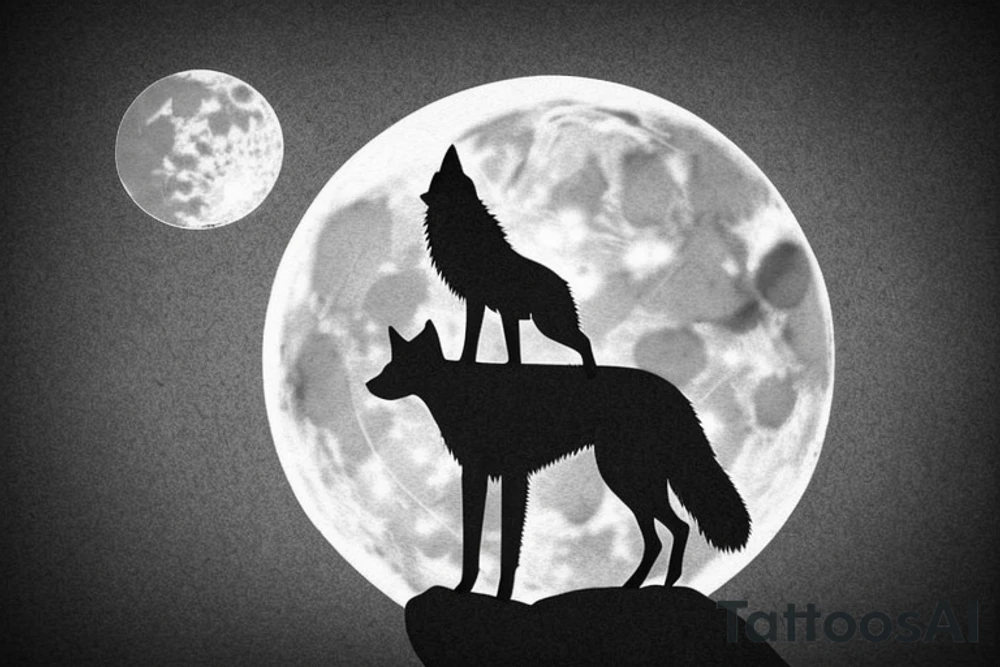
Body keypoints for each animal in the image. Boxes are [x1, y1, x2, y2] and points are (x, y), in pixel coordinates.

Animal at [366, 321, 751, 601]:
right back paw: (639, 587)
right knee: (666, 533)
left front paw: (501, 597)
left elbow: (507, 547)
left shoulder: (511, 477)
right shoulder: (476, 476)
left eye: (394, 367)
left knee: (676, 529)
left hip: (624, 479)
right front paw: (464, 590)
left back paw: (659, 588)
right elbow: (474, 542)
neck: (461, 392)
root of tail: (674, 392)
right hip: (633, 481)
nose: (369, 384)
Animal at [420, 145, 597, 377]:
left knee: (584, 341)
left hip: (548, 324)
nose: (451, 150)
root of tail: (565, 285)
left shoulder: (478, 299)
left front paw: (464, 362)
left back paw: (591, 372)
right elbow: (512, 353)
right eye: (437, 177)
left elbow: (472, 336)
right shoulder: (501, 309)